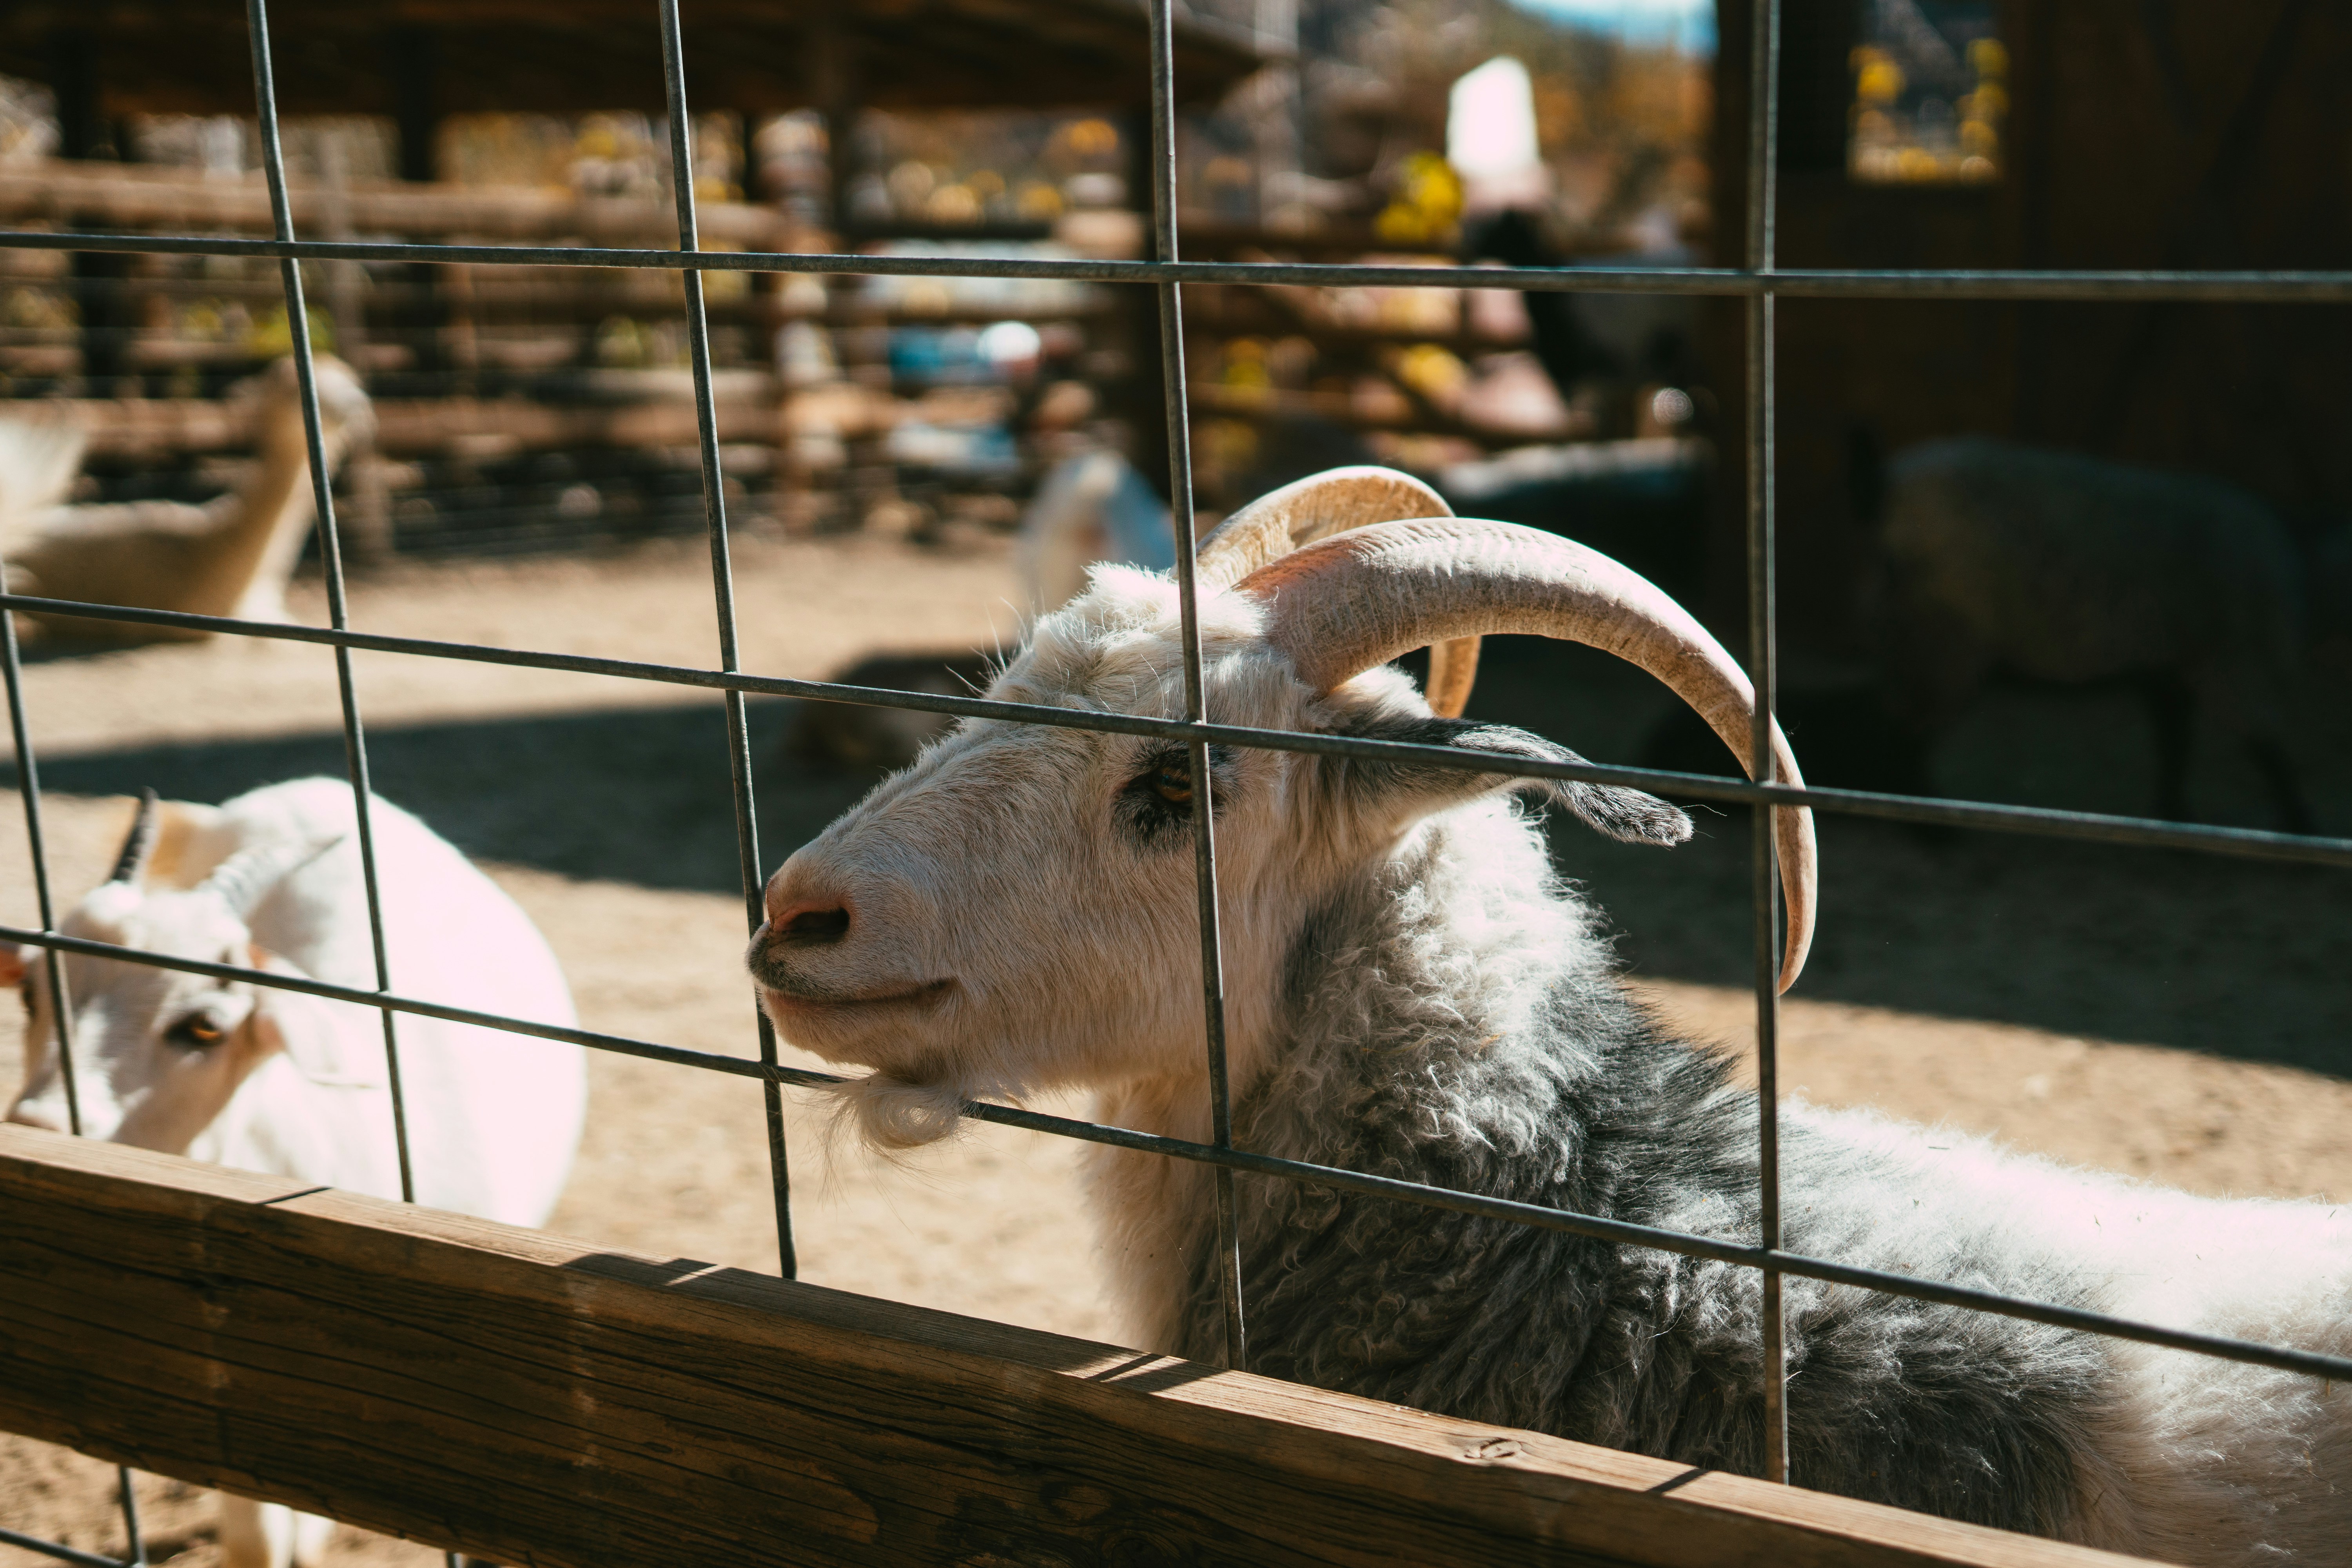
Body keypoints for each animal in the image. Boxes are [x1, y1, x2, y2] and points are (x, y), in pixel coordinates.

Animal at [1852, 433, 2319, 832]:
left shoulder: (2172, 663)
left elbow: (2176, 742)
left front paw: (2174, 815)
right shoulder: (2222, 661)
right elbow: (2253, 746)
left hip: (1916, 638)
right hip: (1943, 641)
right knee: (1904, 728)